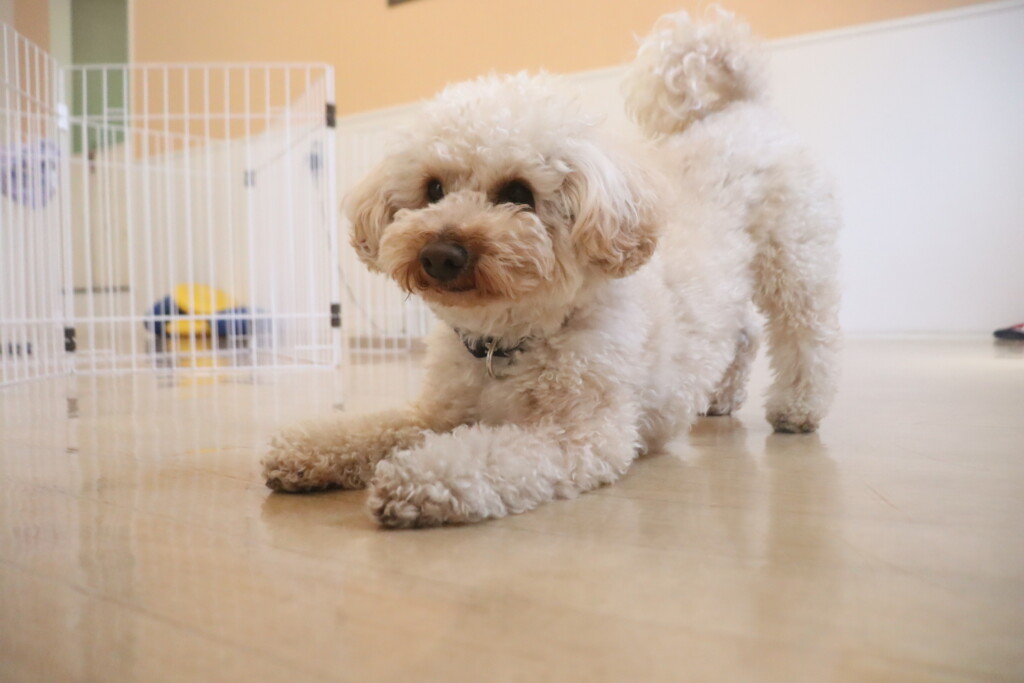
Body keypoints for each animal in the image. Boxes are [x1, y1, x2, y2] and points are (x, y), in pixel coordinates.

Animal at [261, 9, 841, 528]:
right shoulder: (437, 413)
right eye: (432, 188)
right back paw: (718, 399)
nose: (440, 254)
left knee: (805, 335)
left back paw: (797, 408)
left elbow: (484, 455)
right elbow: (370, 428)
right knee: (743, 333)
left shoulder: (579, 436)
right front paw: (305, 449)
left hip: (795, 258)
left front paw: (419, 478)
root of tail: (740, 108)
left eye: (519, 193)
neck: (507, 342)